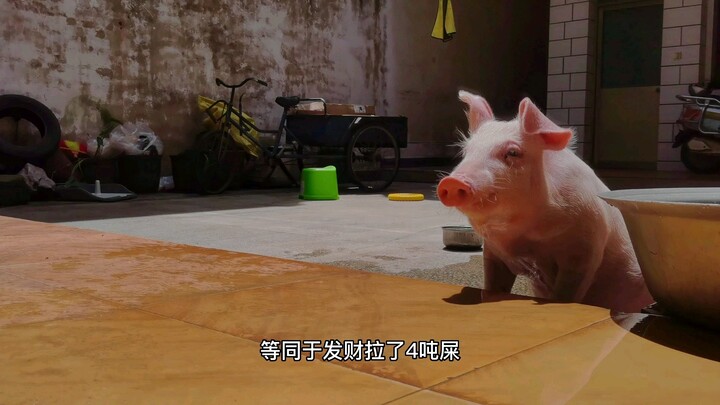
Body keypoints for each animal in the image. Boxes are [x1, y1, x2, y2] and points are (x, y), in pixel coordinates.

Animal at [436, 90, 653, 313]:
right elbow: (492, 284)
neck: (525, 235)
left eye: (513, 152)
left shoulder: (586, 246)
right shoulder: (492, 250)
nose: (452, 182)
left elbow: (566, 292)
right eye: (466, 153)